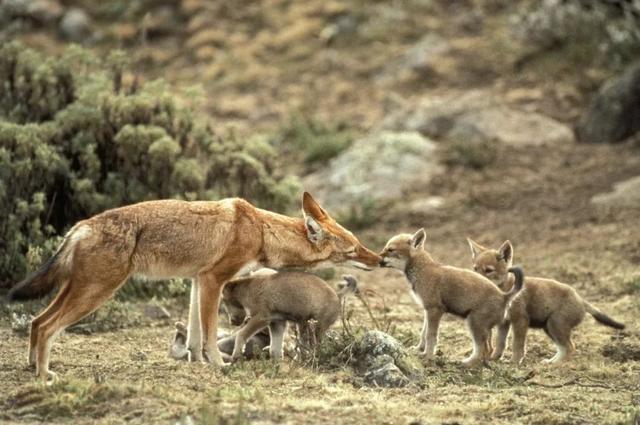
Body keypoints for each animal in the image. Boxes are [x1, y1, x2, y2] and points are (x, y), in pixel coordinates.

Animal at [8, 192, 380, 380]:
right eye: (353, 250)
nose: (379, 260)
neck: (260, 230)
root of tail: (81, 226)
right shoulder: (213, 280)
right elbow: (211, 332)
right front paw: (218, 365)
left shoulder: (197, 280)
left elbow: (194, 335)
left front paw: (197, 363)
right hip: (95, 293)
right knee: (47, 327)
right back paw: (44, 374)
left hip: (80, 292)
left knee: (36, 321)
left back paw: (29, 367)